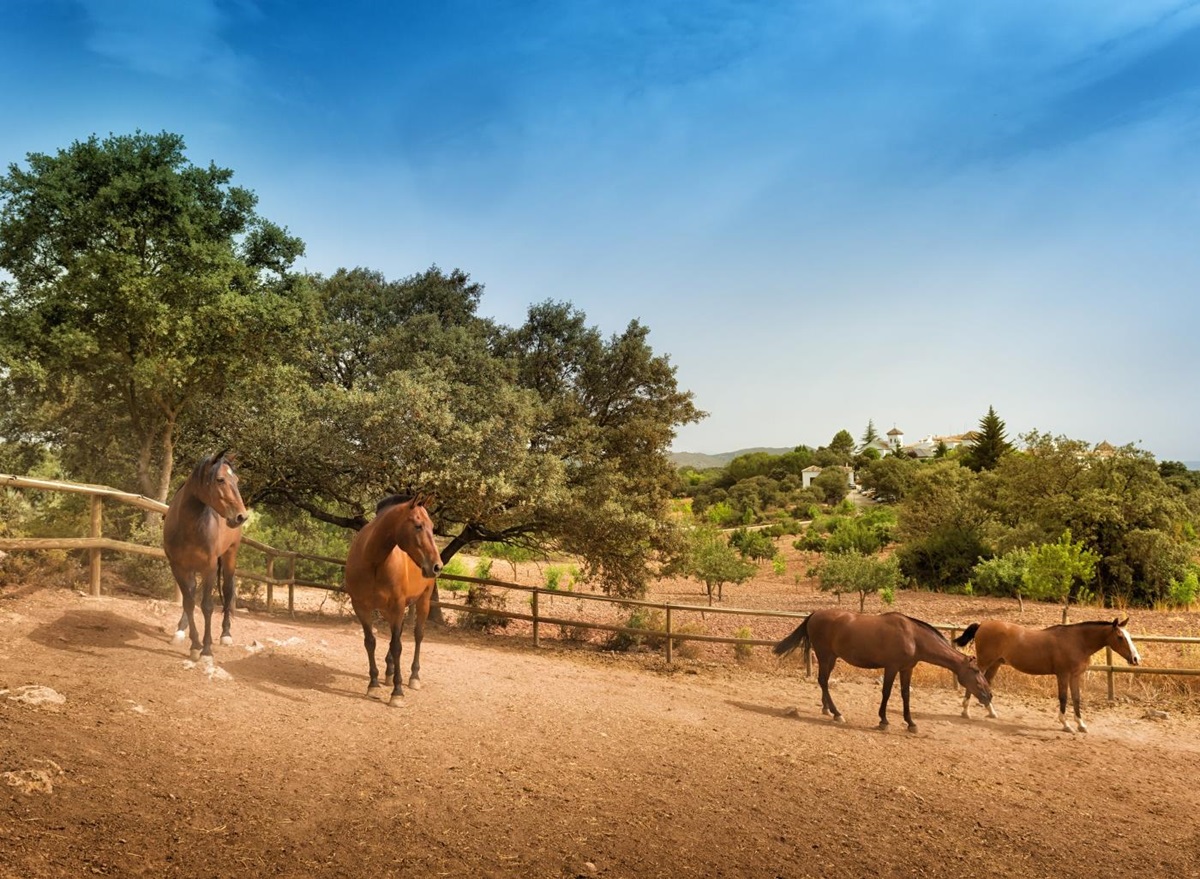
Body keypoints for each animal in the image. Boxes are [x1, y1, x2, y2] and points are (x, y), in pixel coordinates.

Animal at [162, 451, 248, 663]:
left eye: (236, 480)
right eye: (220, 479)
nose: (242, 516)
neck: (188, 527)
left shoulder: (208, 568)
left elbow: (207, 606)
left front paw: (206, 650)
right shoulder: (178, 567)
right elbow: (188, 603)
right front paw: (195, 645)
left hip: (229, 557)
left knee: (228, 591)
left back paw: (226, 635)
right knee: (191, 595)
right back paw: (180, 630)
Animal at [343, 494, 444, 706]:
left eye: (432, 526)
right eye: (418, 526)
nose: (437, 566)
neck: (373, 560)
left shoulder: (397, 606)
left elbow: (397, 646)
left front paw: (397, 693)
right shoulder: (361, 606)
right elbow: (370, 642)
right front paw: (373, 684)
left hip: (423, 601)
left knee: (418, 635)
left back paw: (414, 677)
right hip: (387, 610)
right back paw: (389, 673)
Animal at [773, 608, 992, 732]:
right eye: (976, 671)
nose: (989, 695)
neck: (913, 637)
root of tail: (813, 615)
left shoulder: (906, 669)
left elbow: (905, 695)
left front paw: (911, 723)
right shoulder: (891, 667)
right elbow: (886, 693)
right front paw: (883, 721)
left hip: (831, 658)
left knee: (824, 681)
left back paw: (827, 709)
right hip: (825, 655)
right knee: (823, 681)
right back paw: (837, 713)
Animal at [954, 618, 1140, 733]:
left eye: (1129, 636)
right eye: (1120, 637)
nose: (1136, 659)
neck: (1077, 641)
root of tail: (983, 624)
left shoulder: (1075, 676)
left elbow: (1076, 698)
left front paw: (1081, 724)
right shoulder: (1063, 675)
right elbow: (1064, 698)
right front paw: (1066, 724)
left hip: (996, 664)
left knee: (987, 682)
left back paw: (991, 712)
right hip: (984, 663)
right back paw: (966, 712)